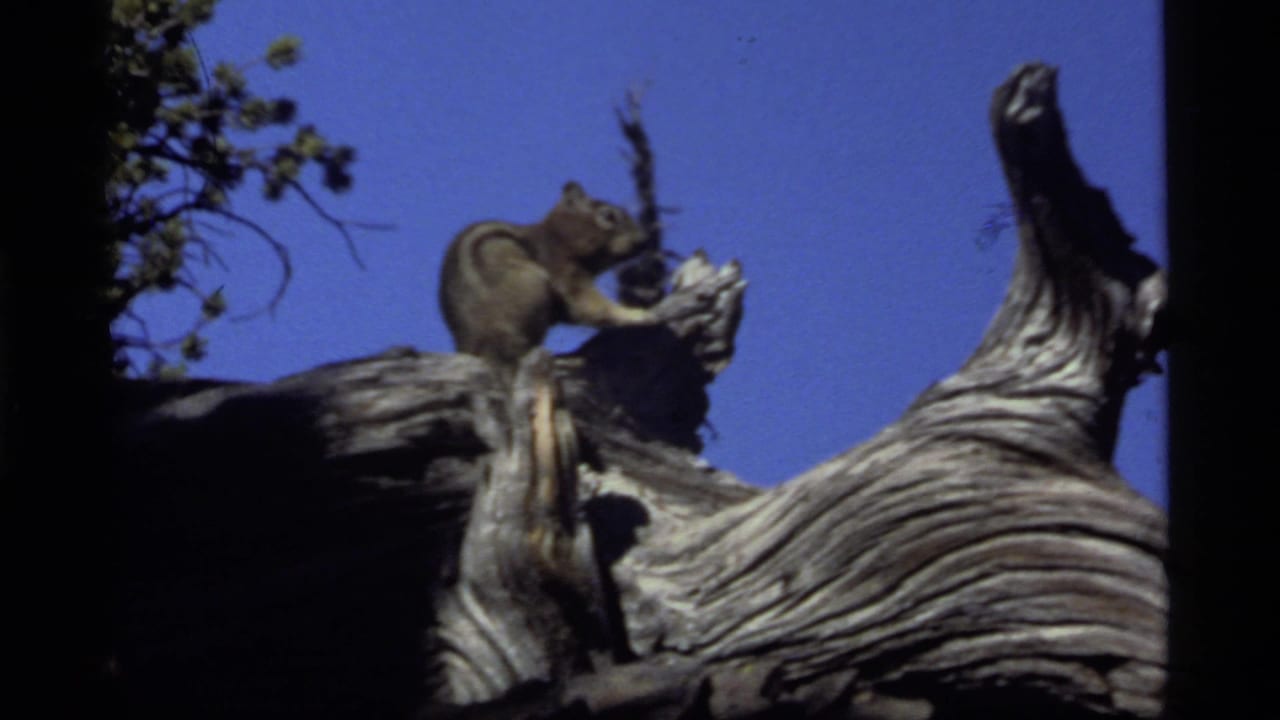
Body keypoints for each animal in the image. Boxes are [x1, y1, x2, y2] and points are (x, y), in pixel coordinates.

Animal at [439, 181, 659, 372]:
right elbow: (587, 304)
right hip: (534, 284)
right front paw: (636, 314)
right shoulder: (562, 268)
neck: (557, 235)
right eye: (608, 215)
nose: (645, 240)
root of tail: (488, 341)